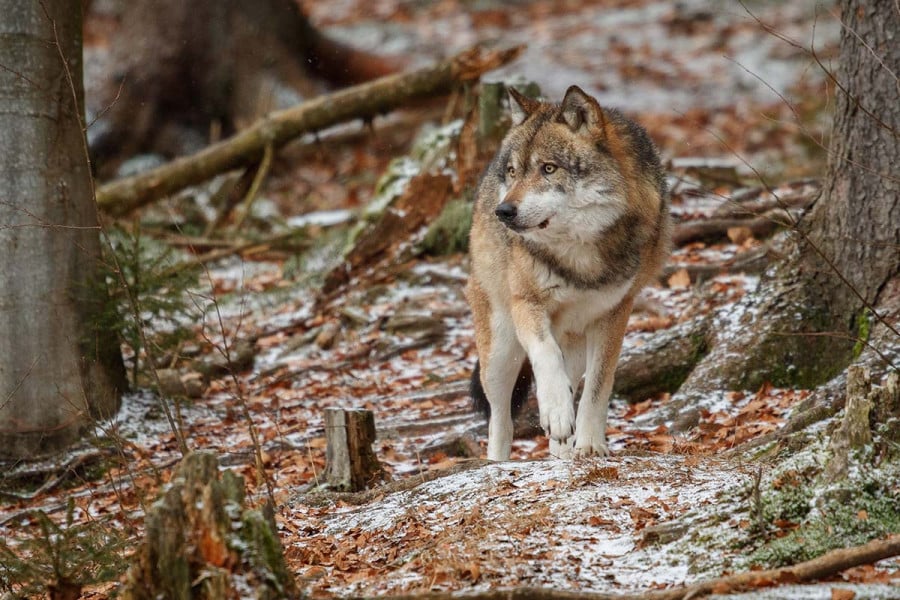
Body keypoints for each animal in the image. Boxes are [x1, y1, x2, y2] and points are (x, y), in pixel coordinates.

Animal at [464, 85, 668, 460]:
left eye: (548, 168)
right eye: (513, 171)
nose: (503, 211)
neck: (578, 256)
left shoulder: (615, 313)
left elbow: (598, 387)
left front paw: (589, 444)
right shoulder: (526, 303)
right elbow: (545, 357)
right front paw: (557, 413)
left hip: (572, 342)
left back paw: (561, 453)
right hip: (500, 351)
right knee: (500, 418)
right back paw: (498, 461)